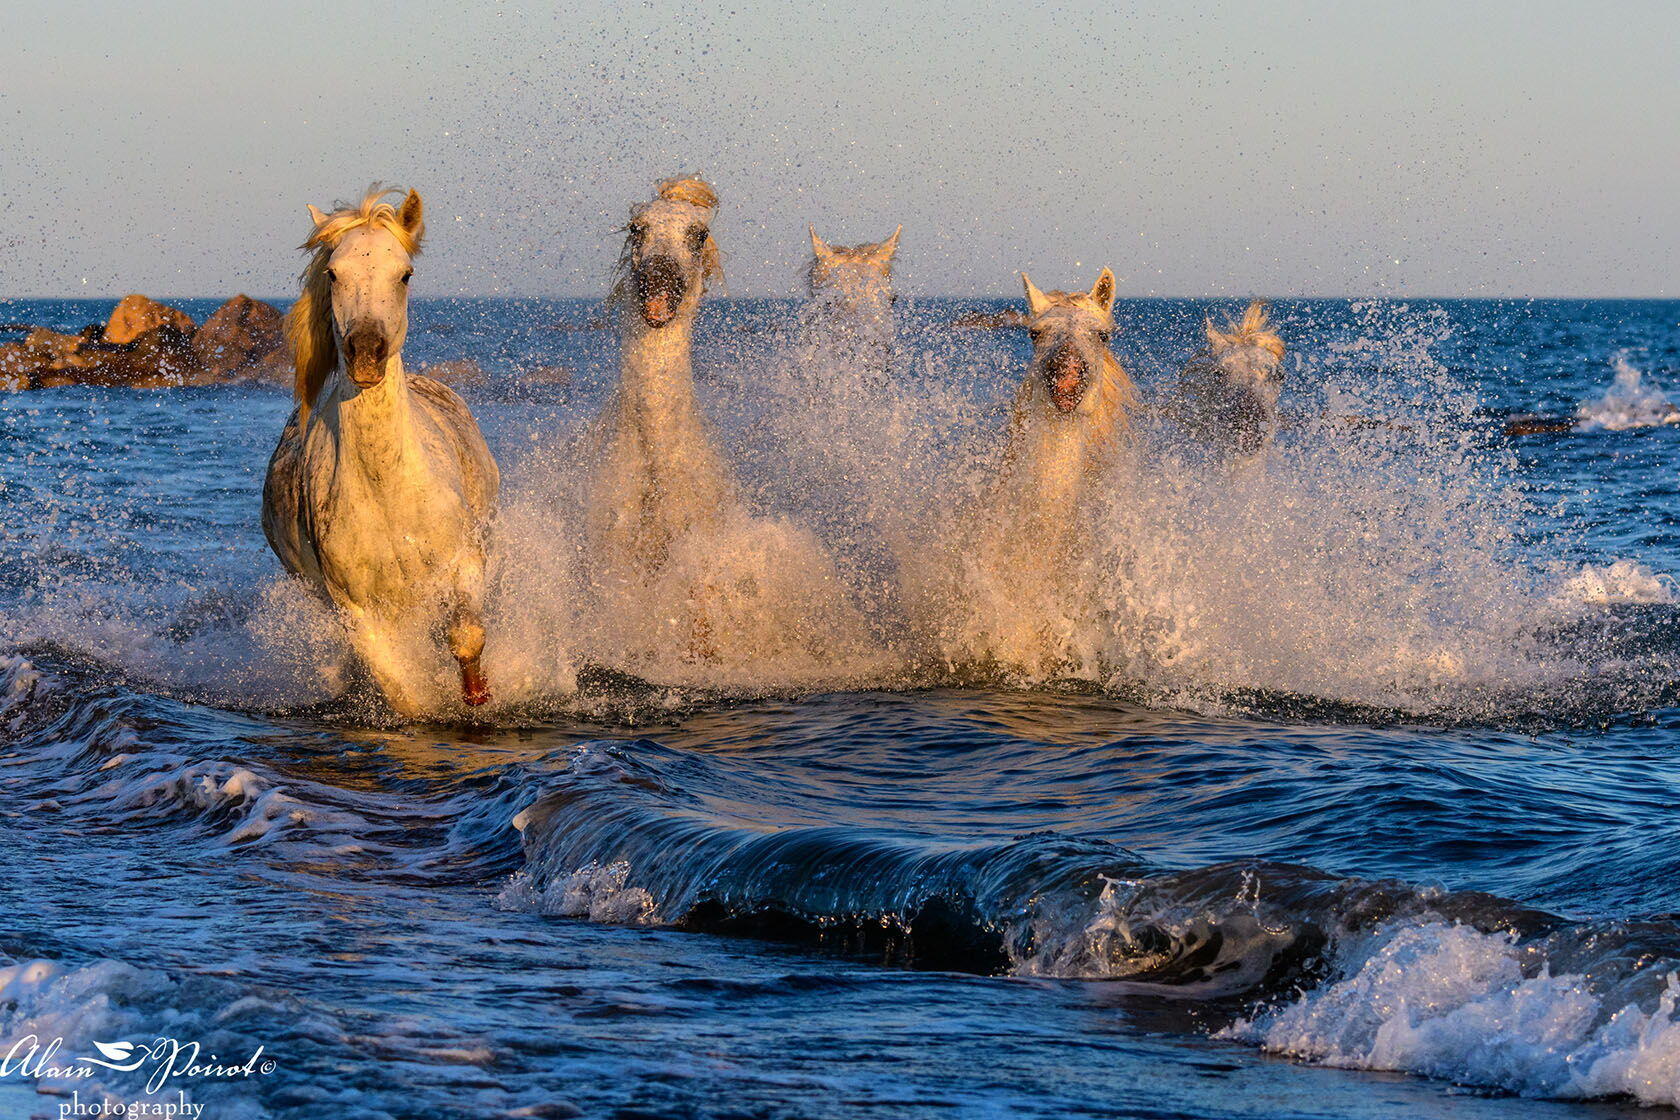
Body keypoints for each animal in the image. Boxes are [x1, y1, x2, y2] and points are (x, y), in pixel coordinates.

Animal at [262, 187, 497, 715]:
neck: (389, 491)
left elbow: (466, 637)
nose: (367, 352)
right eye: (333, 273)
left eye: (404, 273)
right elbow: (399, 690)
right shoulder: (354, 608)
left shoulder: (465, 564)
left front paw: (477, 696)